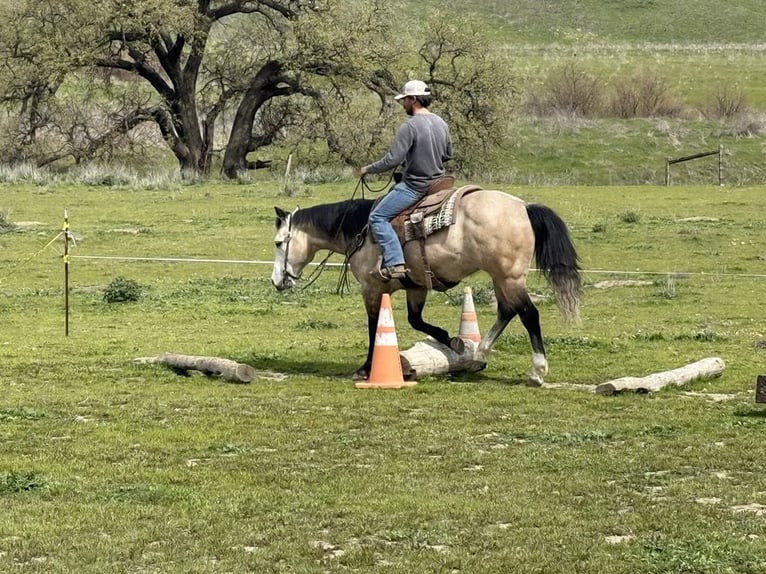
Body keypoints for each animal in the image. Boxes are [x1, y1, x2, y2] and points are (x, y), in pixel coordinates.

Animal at [270, 189, 581, 384]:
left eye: (278, 243)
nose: (276, 281)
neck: (360, 229)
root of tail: (523, 207)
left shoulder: (372, 288)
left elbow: (374, 327)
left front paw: (365, 368)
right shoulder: (416, 286)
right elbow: (415, 319)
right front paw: (451, 340)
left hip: (509, 277)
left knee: (528, 314)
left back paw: (537, 371)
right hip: (500, 277)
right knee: (507, 310)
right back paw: (478, 354)